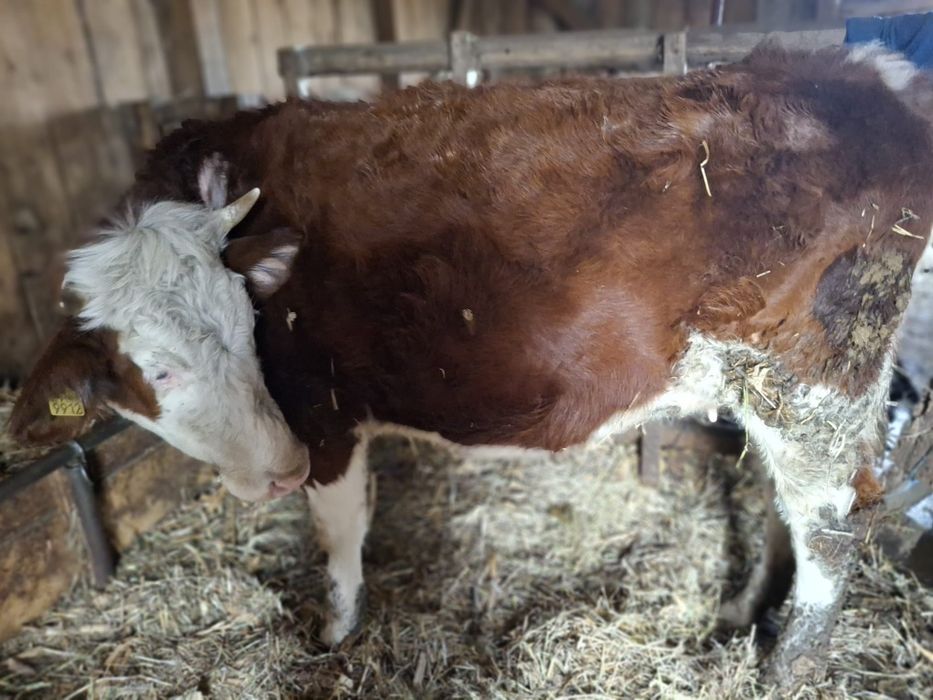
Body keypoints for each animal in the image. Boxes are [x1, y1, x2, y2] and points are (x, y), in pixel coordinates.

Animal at [9, 42, 933, 688]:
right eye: (156, 370)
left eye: (247, 327)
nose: (276, 469)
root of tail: (863, 72)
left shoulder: (322, 414)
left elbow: (339, 533)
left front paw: (335, 633)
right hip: (783, 392)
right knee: (786, 505)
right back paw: (742, 613)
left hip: (812, 378)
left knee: (831, 522)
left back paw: (787, 664)